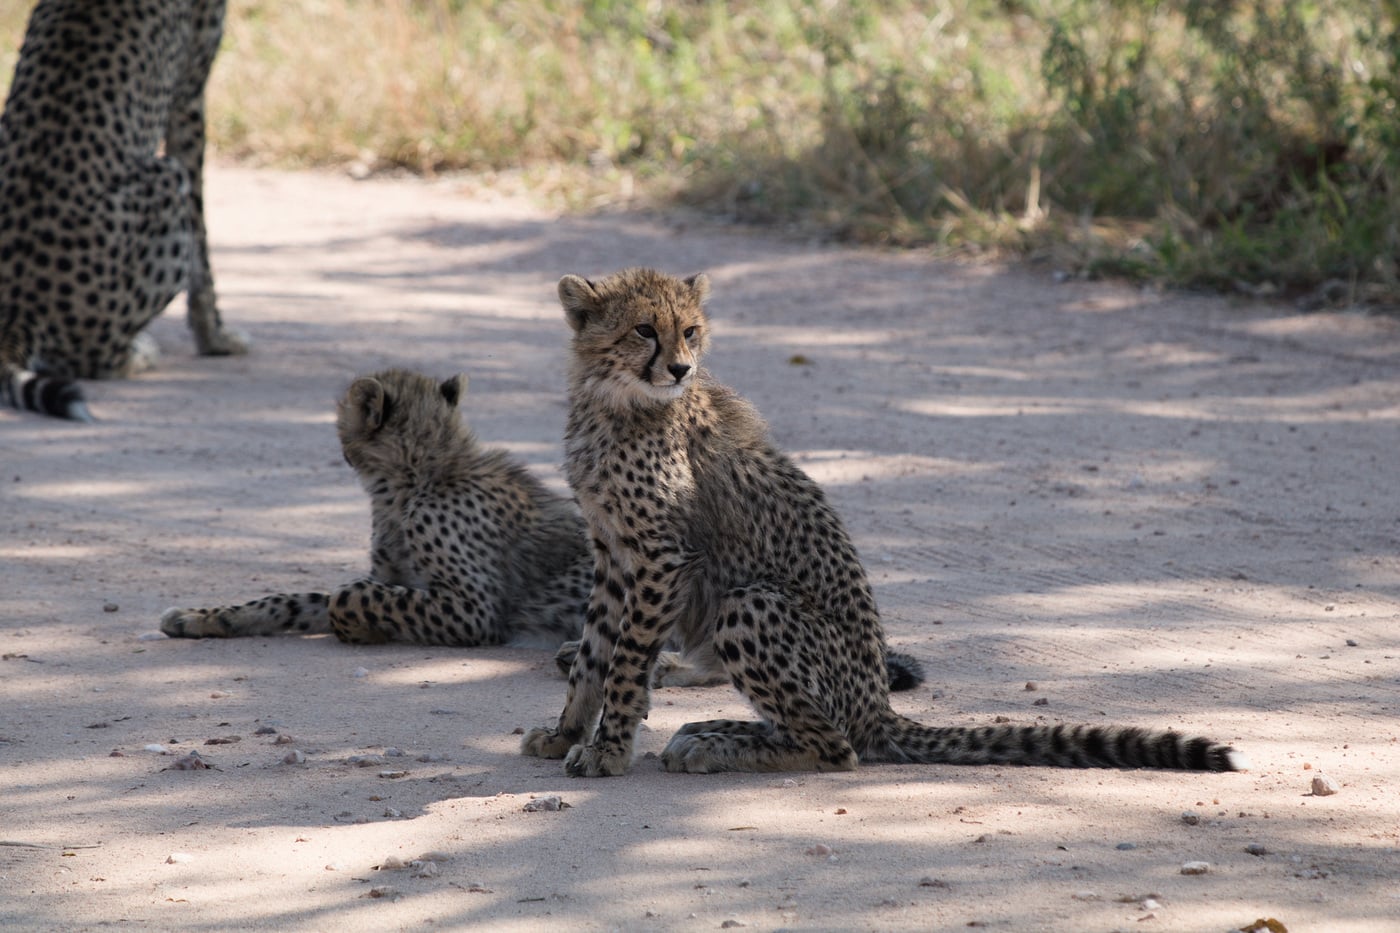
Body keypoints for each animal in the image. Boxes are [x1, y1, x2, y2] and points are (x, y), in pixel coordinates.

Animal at [0, 0, 247, 422]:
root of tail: (17, 310)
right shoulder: (189, 98)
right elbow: (203, 246)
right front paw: (217, 338)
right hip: (167, 179)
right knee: (97, 361)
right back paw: (139, 353)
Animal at [522, 268, 1249, 777]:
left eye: (691, 330)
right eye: (645, 330)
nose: (680, 367)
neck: (614, 401)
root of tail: (878, 701)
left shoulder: (659, 555)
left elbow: (624, 662)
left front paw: (607, 751)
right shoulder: (614, 551)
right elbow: (594, 653)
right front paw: (564, 733)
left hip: (749, 605)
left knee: (837, 747)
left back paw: (722, 746)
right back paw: (715, 732)